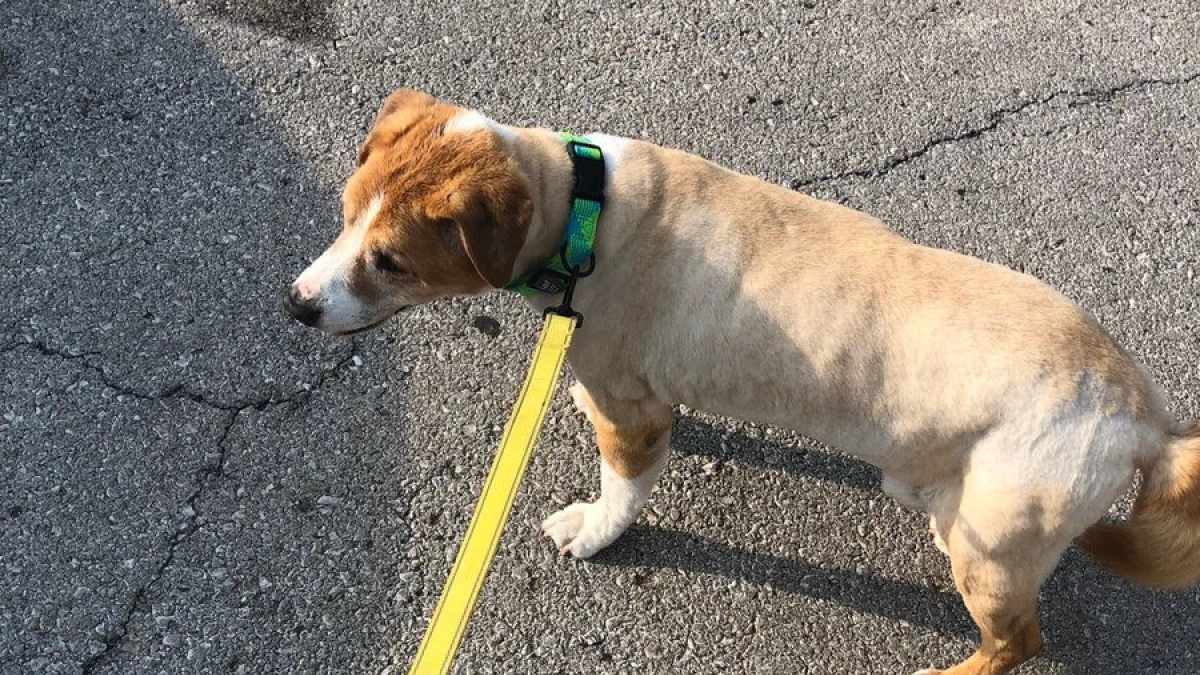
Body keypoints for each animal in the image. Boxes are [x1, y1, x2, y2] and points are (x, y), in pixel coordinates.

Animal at [283, 90, 1200, 672]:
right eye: (344, 212)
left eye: (392, 261)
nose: (297, 304)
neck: (582, 206)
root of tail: (1143, 416)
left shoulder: (633, 412)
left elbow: (622, 490)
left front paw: (596, 528)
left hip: (1002, 553)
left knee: (1018, 644)